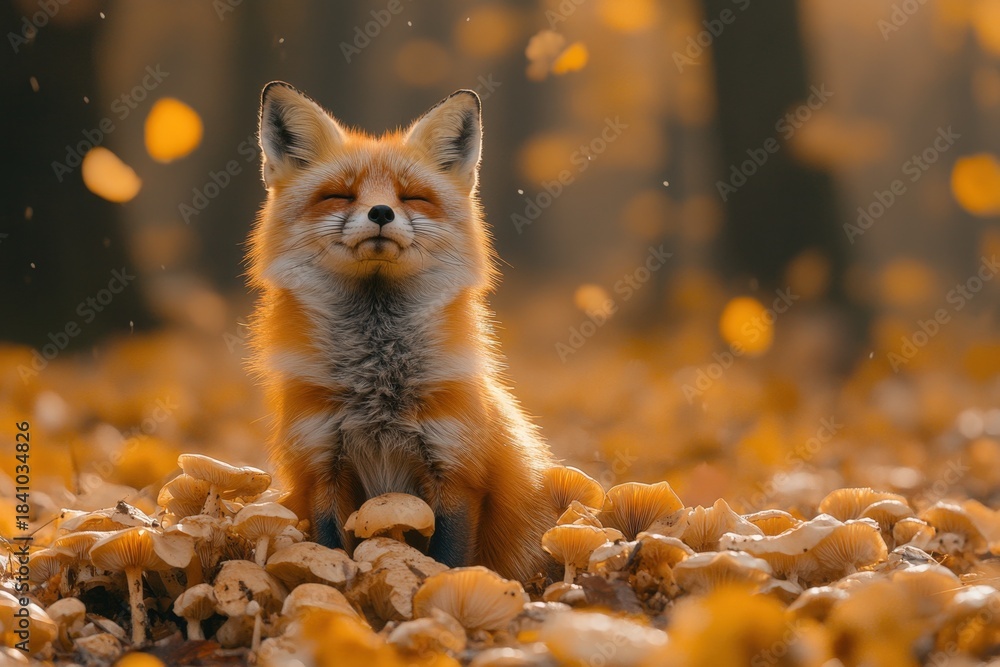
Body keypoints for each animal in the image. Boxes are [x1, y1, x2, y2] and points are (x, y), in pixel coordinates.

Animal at [246, 81, 555, 580]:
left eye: (412, 197)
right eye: (339, 195)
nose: (380, 212)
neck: (378, 379)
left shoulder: (456, 472)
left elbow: (447, 561)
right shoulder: (321, 469)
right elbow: (330, 553)